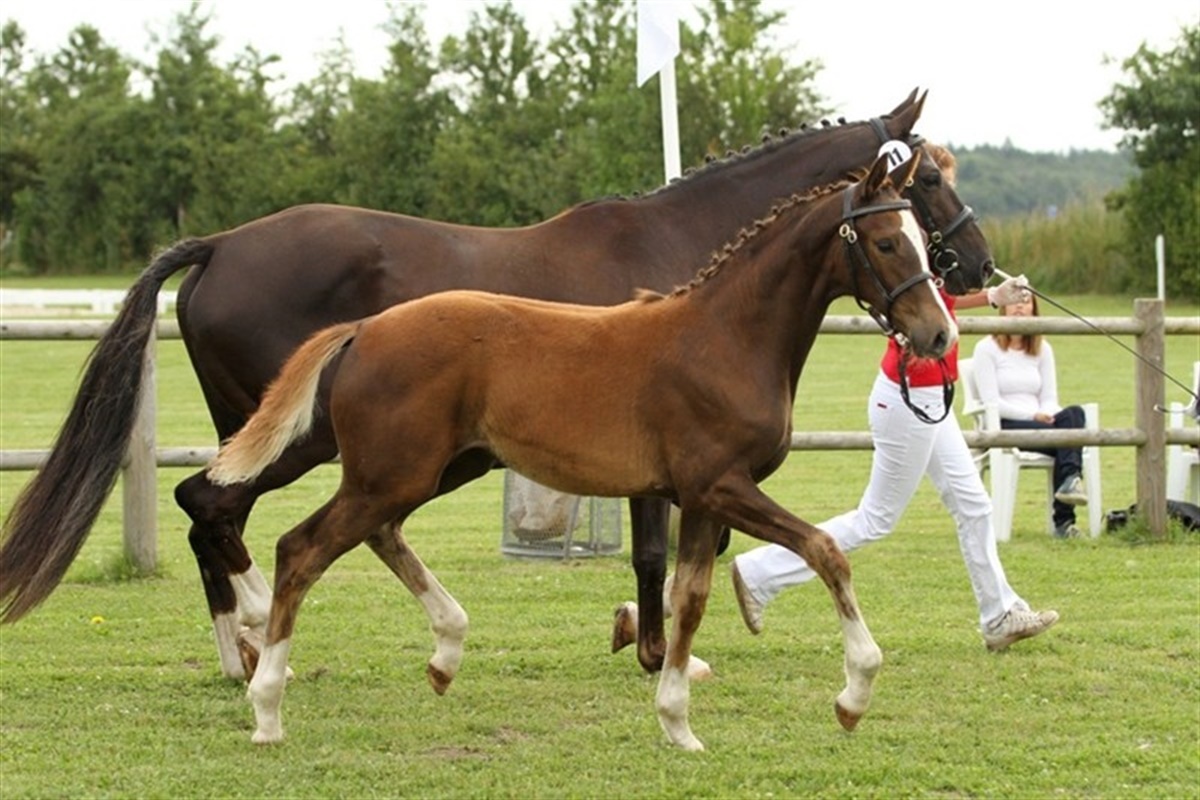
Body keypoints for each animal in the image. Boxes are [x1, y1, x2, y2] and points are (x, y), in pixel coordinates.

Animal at [0, 89, 991, 686]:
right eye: (926, 182)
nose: (978, 269)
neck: (690, 261)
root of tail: (221, 243)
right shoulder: (664, 464)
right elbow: (653, 557)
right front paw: (658, 652)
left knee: (217, 514)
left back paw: (242, 653)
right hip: (301, 438)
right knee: (214, 508)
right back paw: (251, 634)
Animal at [205, 153, 955, 750]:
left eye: (925, 241)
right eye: (887, 242)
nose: (939, 336)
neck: (727, 335)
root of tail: (364, 329)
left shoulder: (701, 497)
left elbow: (692, 596)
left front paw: (677, 722)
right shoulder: (721, 485)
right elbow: (824, 552)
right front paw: (853, 694)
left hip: (423, 472)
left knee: (375, 535)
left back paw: (444, 652)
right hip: (389, 475)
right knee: (299, 548)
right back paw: (266, 705)